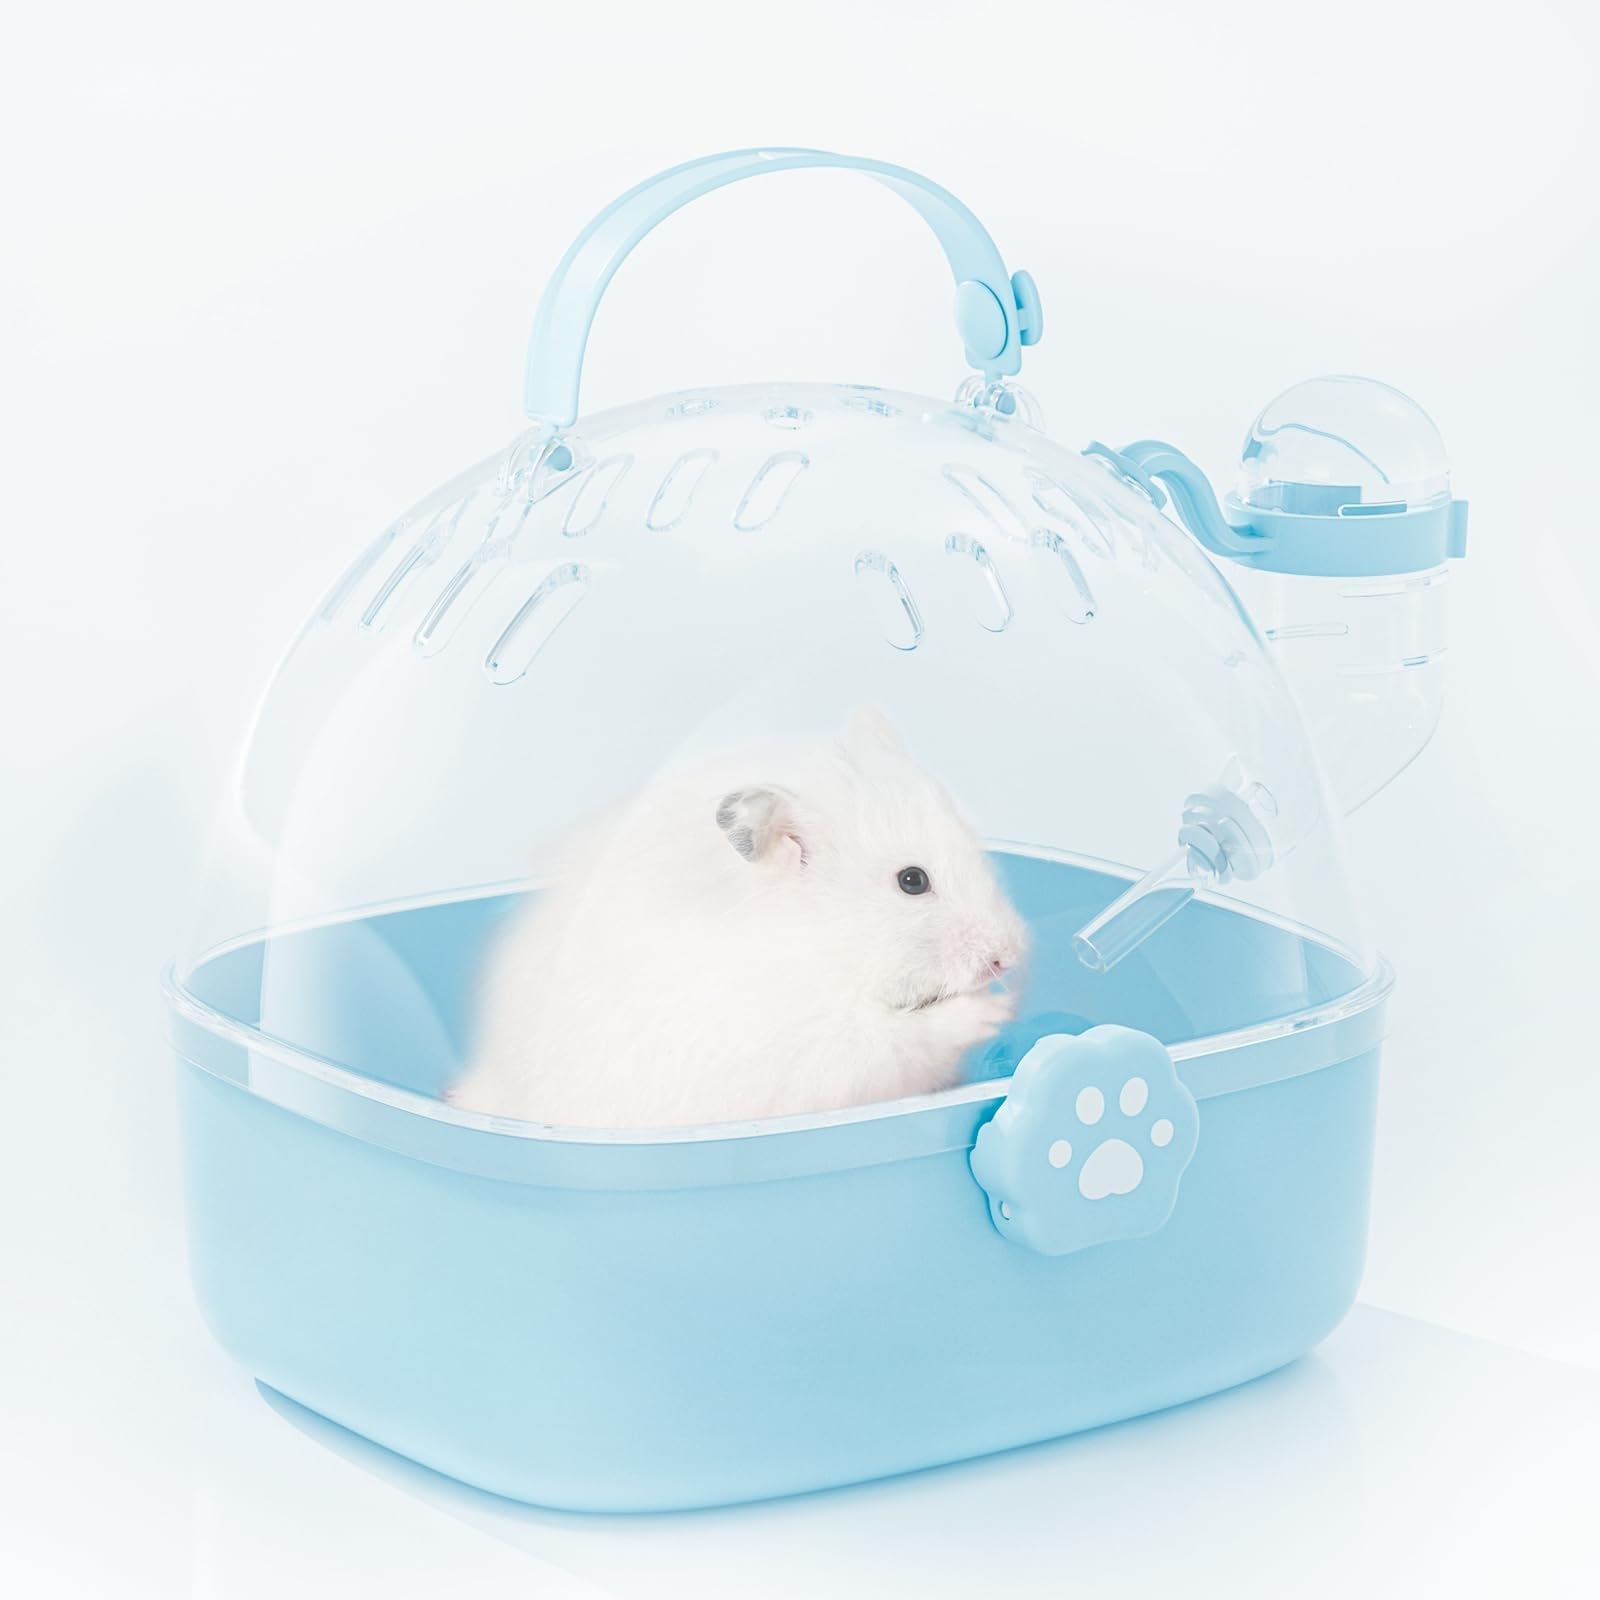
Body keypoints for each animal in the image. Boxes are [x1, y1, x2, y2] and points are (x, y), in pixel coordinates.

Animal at [451, 710, 1028, 1129]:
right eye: (912, 881)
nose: (1011, 955)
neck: (823, 949)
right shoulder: (817, 1054)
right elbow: (904, 1038)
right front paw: (994, 1008)